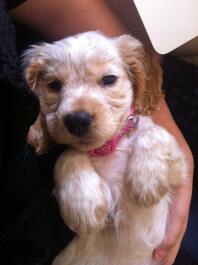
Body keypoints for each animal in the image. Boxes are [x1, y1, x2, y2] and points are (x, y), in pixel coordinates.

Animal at [23, 31, 187, 264]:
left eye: (109, 79)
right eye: (54, 85)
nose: (77, 120)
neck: (107, 149)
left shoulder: (180, 170)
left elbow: (153, 132)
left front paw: (148, 180)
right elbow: (69, 153)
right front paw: (83, 207)